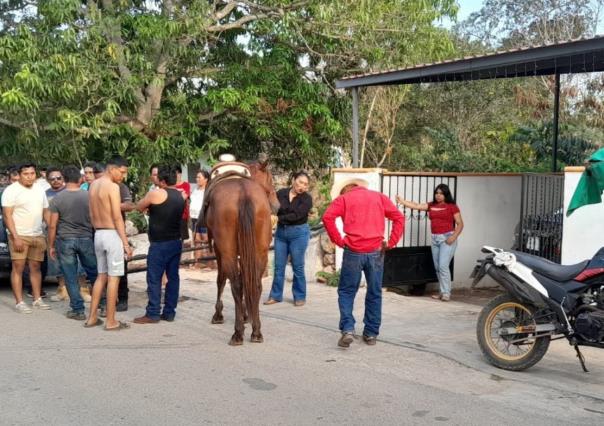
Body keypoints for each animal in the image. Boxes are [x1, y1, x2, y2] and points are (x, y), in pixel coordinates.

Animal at [203, 161, 278, 344]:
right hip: (260, 253)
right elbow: (246, 280)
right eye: (271, 179)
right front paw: (247, 314)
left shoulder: (220, 250)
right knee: (255, 284)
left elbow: (222, 280)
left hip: (228, 252)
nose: (277, 205)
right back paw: (256, 331)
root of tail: (244, 193)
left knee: (235, 285)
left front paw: (219, 313)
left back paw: (237, 333)